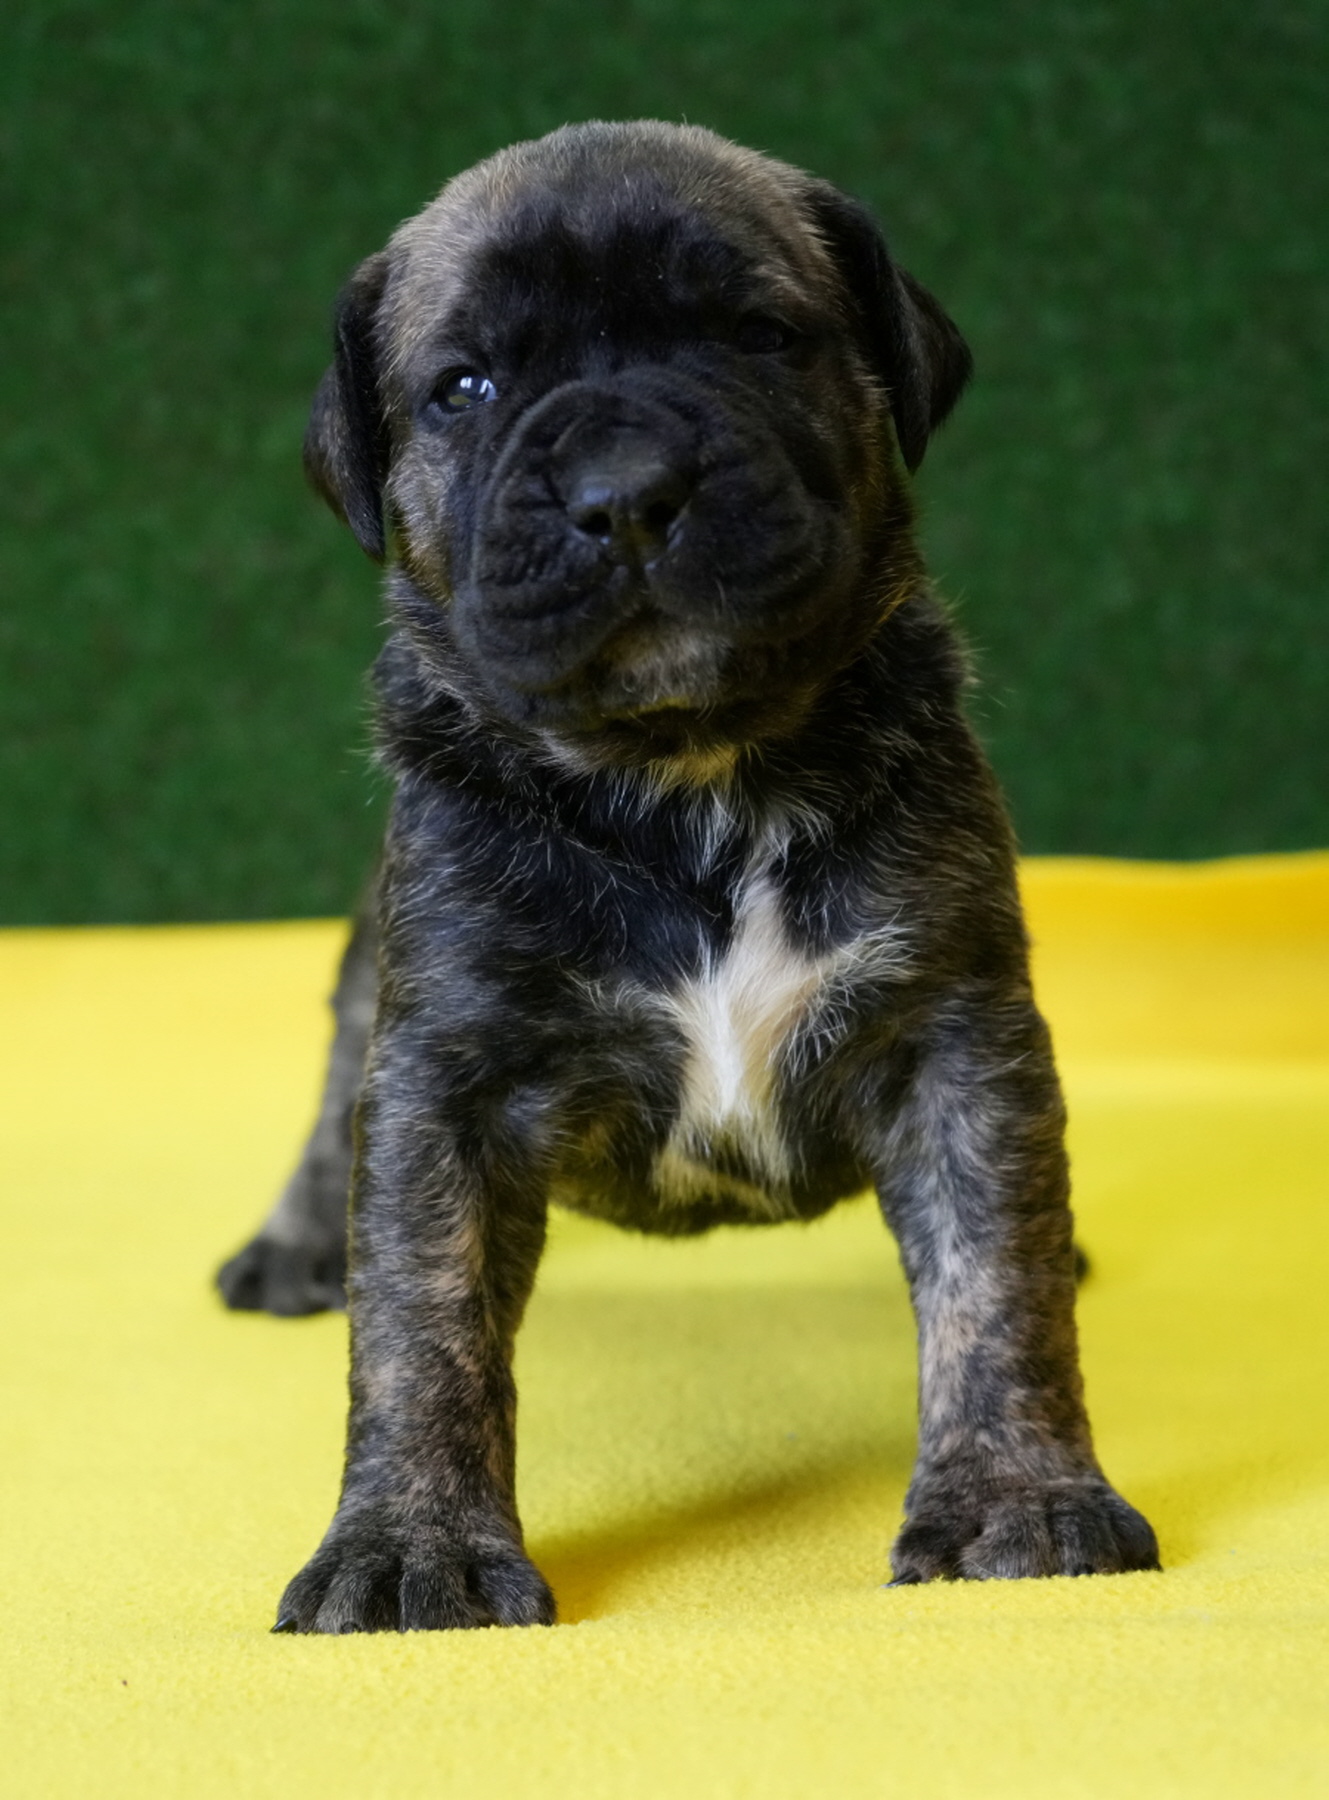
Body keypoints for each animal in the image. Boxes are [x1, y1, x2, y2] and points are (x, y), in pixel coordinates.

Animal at [217, 120, 1159, 1632]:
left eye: (761, 336)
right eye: (464, 387)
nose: (624, 494)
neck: (690, 779)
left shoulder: (955, 1034)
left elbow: (997, 1283)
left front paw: (1020, 1497)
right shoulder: (448, 1075)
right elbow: (420, 1319)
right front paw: (411, 1548)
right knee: (338, 1078)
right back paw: (299, 1241)